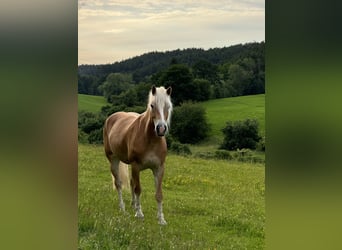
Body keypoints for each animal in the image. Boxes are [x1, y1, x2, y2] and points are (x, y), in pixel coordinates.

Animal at [101, 85, 171, 225]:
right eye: (152, 105)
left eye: (168, 106)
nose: (161, 129)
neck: (150, 140)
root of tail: (111, 118)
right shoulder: (136, 165)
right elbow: (138, 189)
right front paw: (139, 213)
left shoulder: (159, 168)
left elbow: (159, 193)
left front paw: (161, 219)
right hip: (113, 160)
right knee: (119, 183)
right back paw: (122, 208)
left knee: (131, 182)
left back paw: (133, 205)